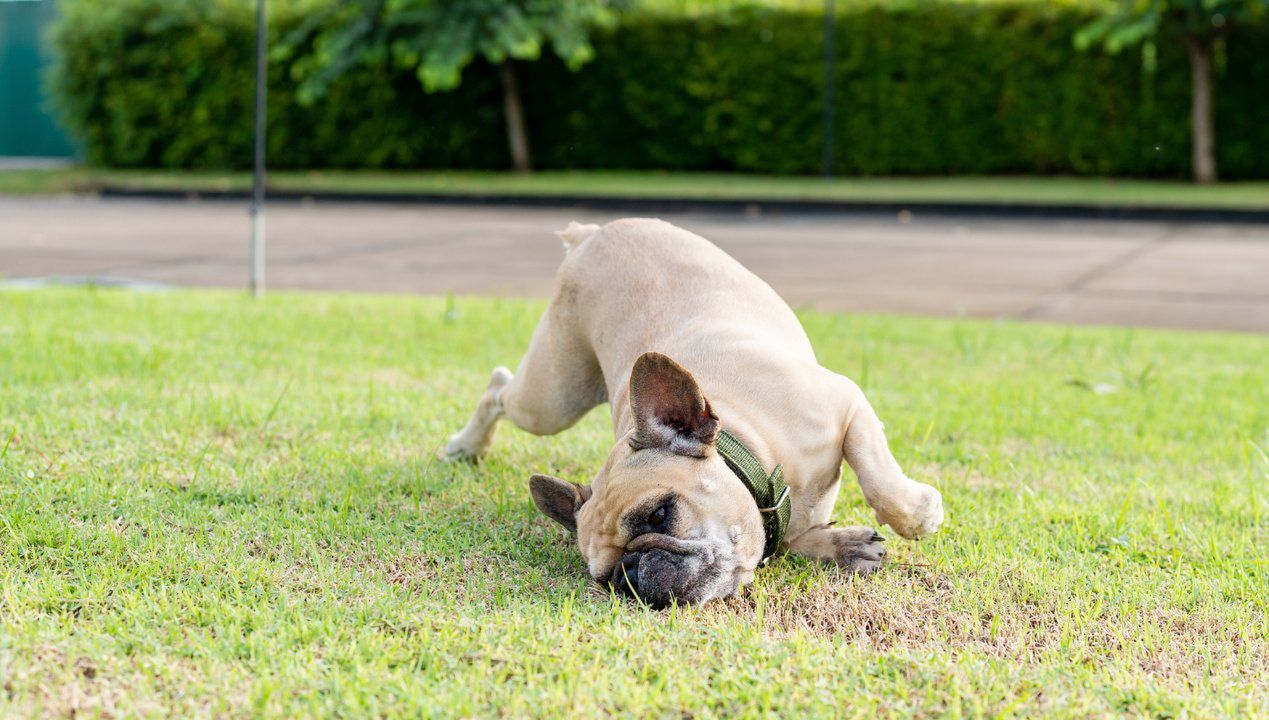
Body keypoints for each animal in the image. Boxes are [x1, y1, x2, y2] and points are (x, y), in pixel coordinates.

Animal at [446, 219, 944, 609]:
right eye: (603, 579)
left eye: (660, 514)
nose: (631, 574)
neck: (756, 444)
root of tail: (591, 233)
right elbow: (795, 539)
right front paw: (845, 545)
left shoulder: (848, 404)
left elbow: (879, 480)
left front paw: (916, 515)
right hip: (552, 401)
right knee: (499, 389)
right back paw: (468, 445)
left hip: (553, 400)